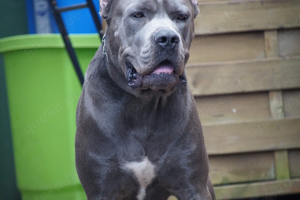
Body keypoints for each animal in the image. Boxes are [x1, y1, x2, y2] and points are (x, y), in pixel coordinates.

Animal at [75, 0, 216, 199]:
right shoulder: (102, 189)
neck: (143, 104)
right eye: (137, 15)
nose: (168, 38)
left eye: (181, 17)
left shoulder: (194, 187)